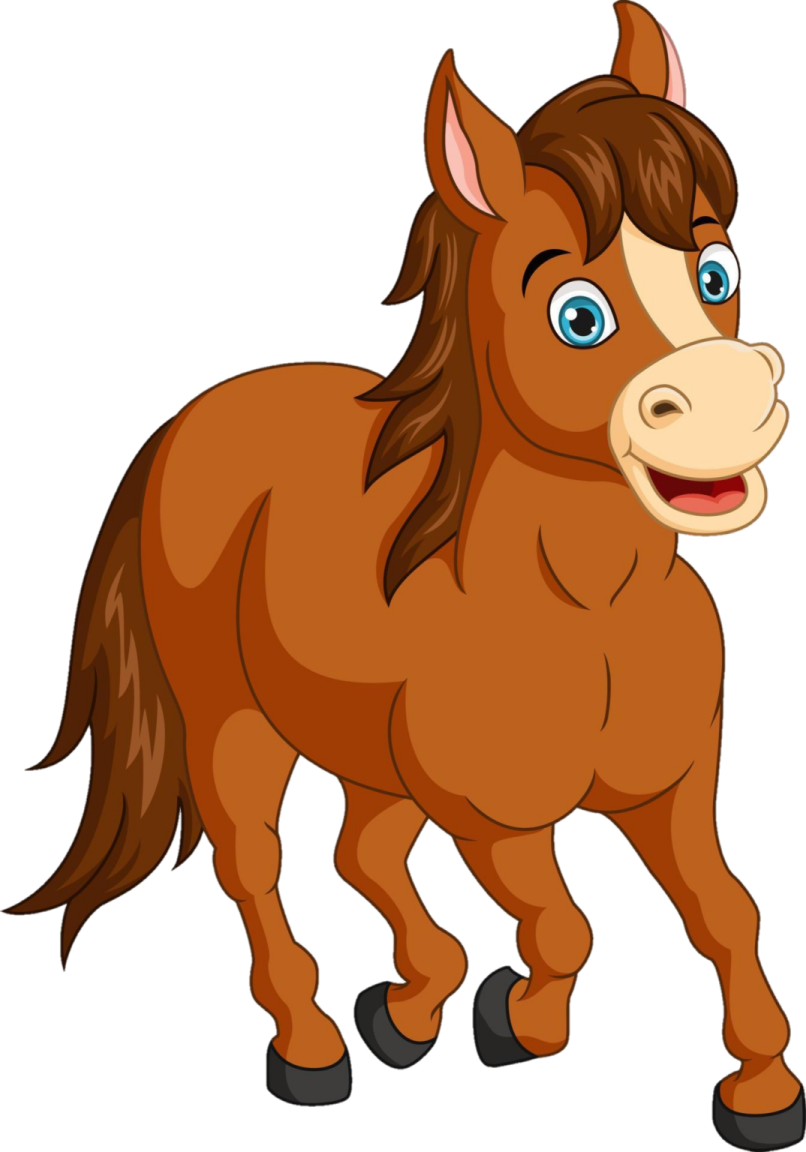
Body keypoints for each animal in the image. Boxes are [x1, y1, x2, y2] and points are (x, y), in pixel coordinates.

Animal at [5, 3, 803, 1144]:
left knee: (362, 855)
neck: (587, 607)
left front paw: (762, 1090)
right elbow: (564, 927)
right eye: (577, 314)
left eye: (715, 275)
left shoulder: (672, 790)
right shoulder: (494, 821)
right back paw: (312, 1046)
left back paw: (408, 1008)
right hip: (231, 723)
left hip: (366, 751)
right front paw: (519, 1025)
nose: (728, 406)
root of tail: (196, 416)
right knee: (255, 863)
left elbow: (725, 911)